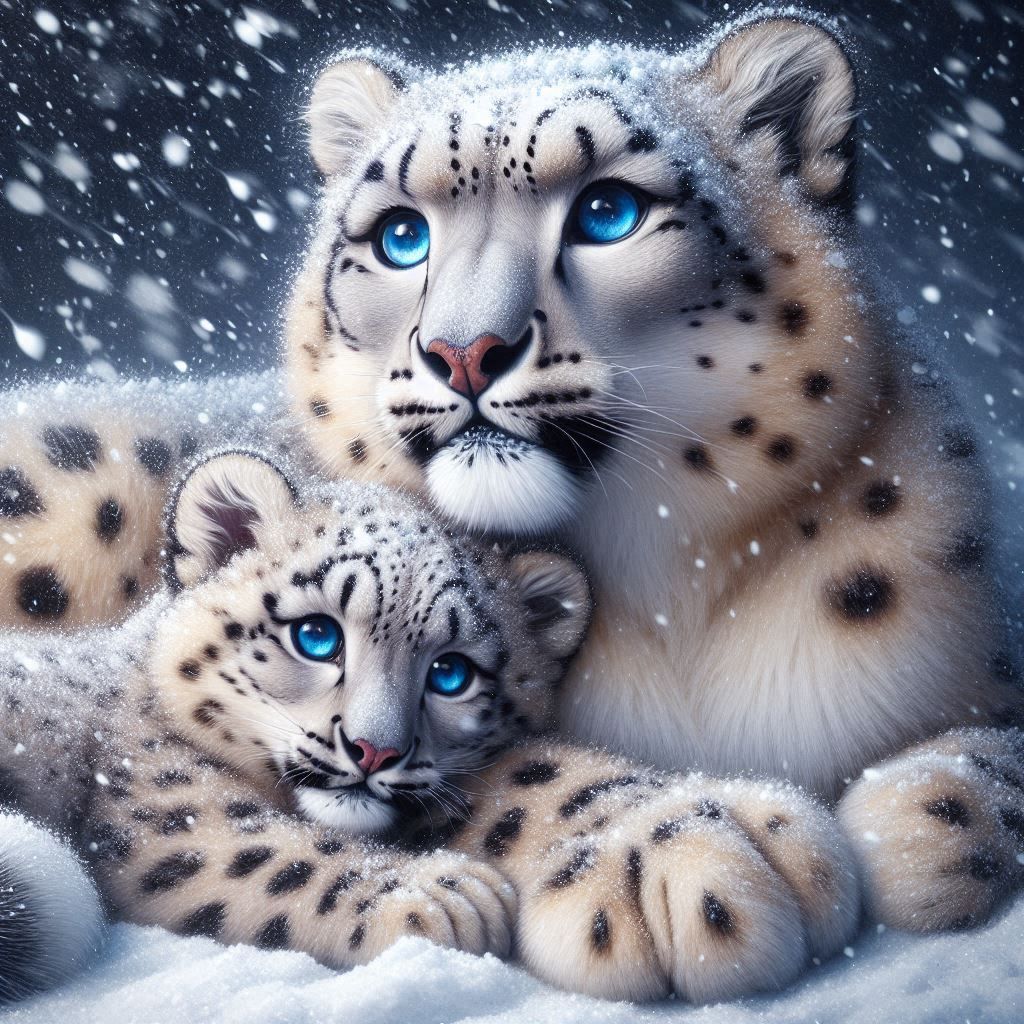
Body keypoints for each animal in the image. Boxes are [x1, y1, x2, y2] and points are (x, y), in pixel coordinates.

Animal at [2, 8, 1022, 994]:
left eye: (609, 211)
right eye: (400, 234)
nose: (464, 352)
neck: (668, 591)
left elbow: (996, 754)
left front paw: (914, 829)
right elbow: (522, 772)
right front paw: (711, 845)